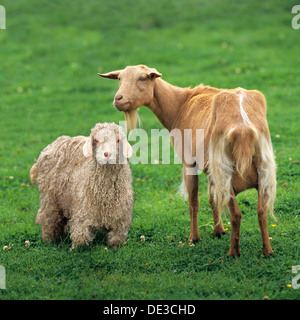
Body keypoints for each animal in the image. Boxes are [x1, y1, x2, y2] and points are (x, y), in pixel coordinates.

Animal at [30, 121, 134, 249]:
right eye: (96, 140)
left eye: (118, 140)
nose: (107, 154)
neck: (105, 194)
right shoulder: (83, 211)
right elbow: (81, 234)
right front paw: (76, 248)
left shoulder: (120, 216)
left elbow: (116, 237)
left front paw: (113, 246)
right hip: (49, 197)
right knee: (48, 218)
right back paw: (49, 240)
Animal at [100, 65, 276, 258]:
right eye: (119, 79)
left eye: (142, 78)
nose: (118, 99)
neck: (180, 105)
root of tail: (244, 128)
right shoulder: (210, 169)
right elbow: (212, 199)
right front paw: (218, 231)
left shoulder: (189, 162)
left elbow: (193, 202)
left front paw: (193, 238)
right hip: (263, 170)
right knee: (262, 211)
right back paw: (267, 251)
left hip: (226, 173)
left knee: (236, 214)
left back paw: (233, 253)